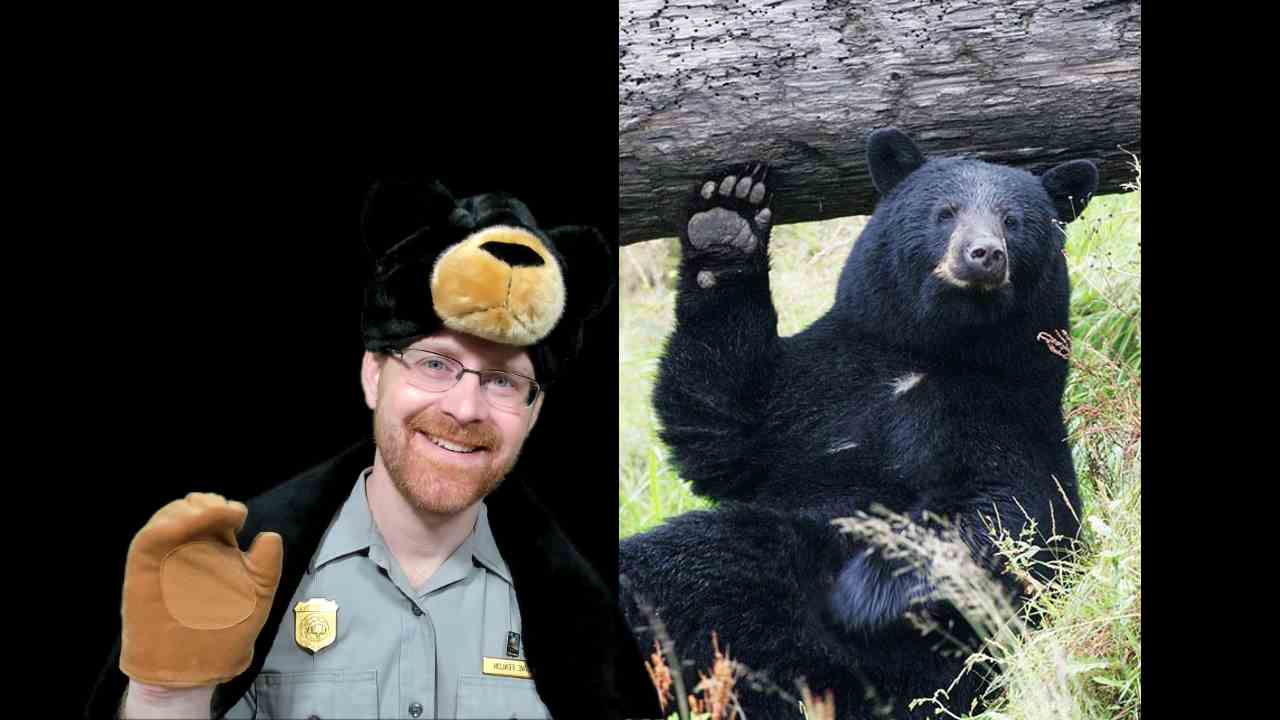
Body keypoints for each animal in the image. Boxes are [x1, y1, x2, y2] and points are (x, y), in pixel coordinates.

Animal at [619, 126, 1100, 712]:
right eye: (945, 212)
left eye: (1014, 220)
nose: (983, 254)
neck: (929, 353)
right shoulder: (818, 386)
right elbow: (721, 425)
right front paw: (726, 220)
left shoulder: (1008, 413)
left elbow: (1008, 511)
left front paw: (861, 591)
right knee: (679, 572)